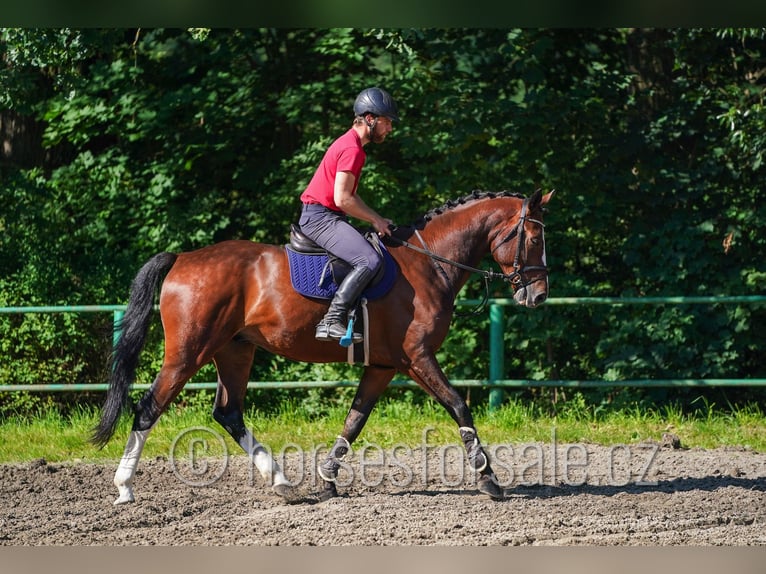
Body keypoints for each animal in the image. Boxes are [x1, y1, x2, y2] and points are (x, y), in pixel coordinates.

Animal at [92, 188, 553, 504]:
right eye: (533, 239)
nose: (539, 296)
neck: (430, 263)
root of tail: (184, 258)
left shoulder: (383, 366)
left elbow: (354, 421)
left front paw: (328, 479)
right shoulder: (417, 358)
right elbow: (458, 405)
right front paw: (488, 477)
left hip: (235, 350)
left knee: (228, 412)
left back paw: (280, 481)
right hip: (190, 351)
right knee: (149, 407)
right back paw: (124, 487)